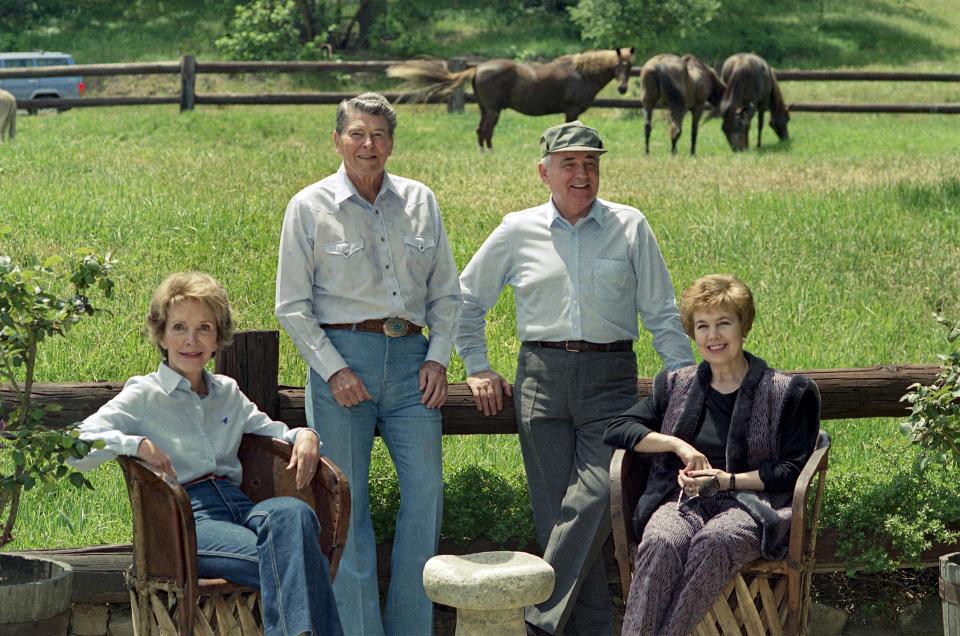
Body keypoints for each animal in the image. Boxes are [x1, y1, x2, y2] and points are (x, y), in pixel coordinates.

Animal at [386, 47, 632, 150]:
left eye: (630, 66)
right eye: (618, 65)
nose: (622, 89)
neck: (582, 73)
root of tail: (478, 68)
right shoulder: (571, 111)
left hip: (485, 109)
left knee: (480, 130)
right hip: (493, 110)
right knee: (486, 131)